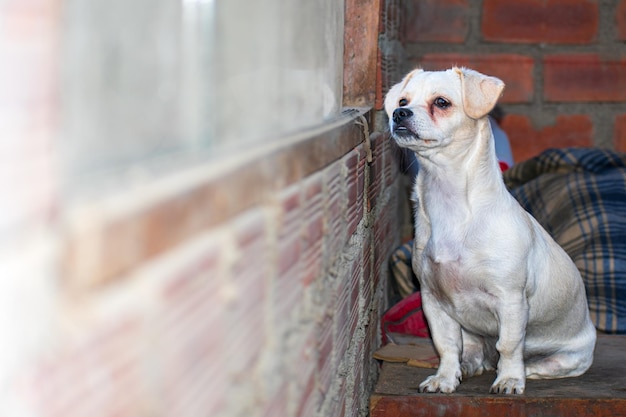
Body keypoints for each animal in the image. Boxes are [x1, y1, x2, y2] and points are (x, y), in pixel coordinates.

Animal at [382, 67, 592, 394]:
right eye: (403, 100)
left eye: (441, 102)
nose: (399, 113)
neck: (450, 205)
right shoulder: (434, 302)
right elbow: (446, 345)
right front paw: (445, 378)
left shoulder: (511, 300)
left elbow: (509, 344)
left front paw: (509, 379)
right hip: (470, 330)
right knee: (472, 351)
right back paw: (467, 366)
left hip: (568, 357)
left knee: (532, 362)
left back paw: (522, 371)